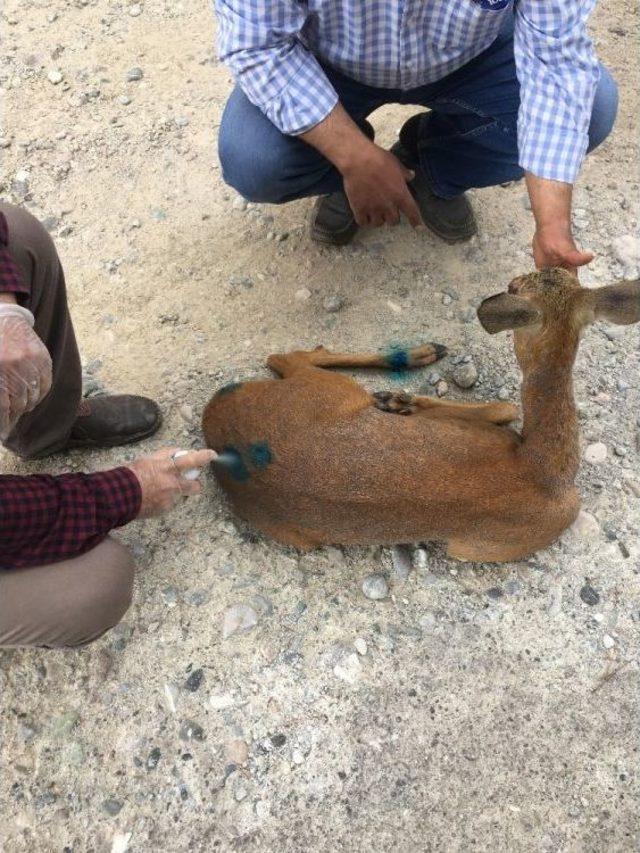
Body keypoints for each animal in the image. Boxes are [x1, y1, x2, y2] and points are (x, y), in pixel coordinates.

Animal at [202, 270, 636, 564]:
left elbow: (504, 407)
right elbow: (505, 407)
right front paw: (402, 400)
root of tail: (215, 423)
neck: (547, 464)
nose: (512, 280)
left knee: (284, 358)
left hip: (305, 519)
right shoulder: (477, 546)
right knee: (287, 356)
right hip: (331, 392)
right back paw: (417, 354)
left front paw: (401, 401)